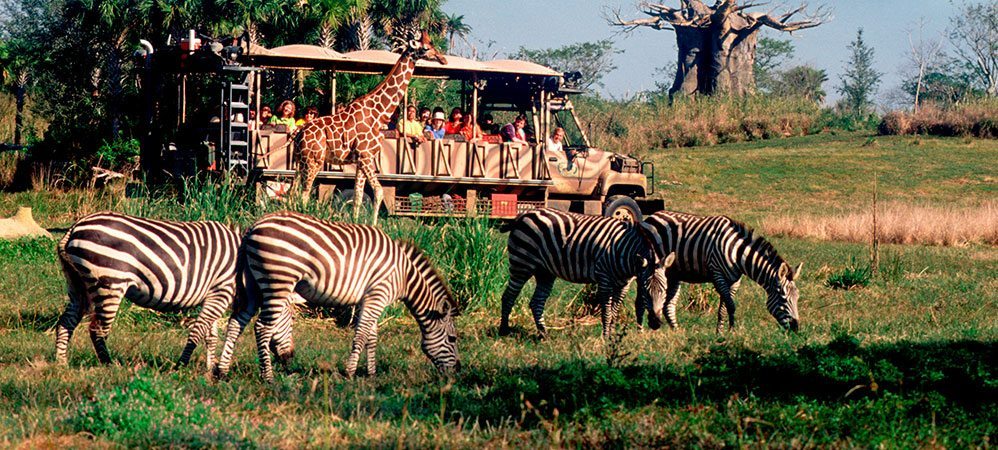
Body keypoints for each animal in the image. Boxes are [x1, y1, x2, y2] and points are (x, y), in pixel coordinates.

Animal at [56, 211, 240, 370]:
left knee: (66, 322)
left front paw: (209, 369)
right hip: (110, 283)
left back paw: (61, 363)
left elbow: (211, 336)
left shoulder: (213, 295)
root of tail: (74, 227)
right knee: (97, 330)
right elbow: (199, 332)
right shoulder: (221, 291)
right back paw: (109, 364)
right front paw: (181, 367)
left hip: (77, 285)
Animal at [215, 213, 460, 382]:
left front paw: (371, 373)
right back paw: (268, 377)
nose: (456, 372)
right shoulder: (378, 295)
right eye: (453, 339)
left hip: (252, 286)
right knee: (262, 328)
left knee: (236, 323)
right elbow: (361, 335)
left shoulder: (368, 299)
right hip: (278, 281)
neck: (404, 275)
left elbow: (371, 336)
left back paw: (222, 371)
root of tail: (253, 227)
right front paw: (350, 372)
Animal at [290, 29, 446, 223]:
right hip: (314, 161)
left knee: (292, 192)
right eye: (425, 48)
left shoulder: (360, 160)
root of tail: (298, 134)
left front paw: (356, 223)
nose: (443, 59)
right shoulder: (366, 156)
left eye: (432, 44)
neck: (379, 114)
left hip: (299, 161)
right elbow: (378, 192)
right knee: (304, 194)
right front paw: (373, 225)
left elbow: (358, 196)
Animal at [500, 207, 680, 338]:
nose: (656, 324)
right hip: (521, 263)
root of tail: (524, 215)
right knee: (508, 296)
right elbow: (607, 312)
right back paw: (504, 330)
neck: (625, 253)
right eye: (645, 291)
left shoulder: (624, 284)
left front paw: (612, 336)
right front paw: (606, 338)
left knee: (536, 302)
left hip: (545, 272)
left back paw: (544, 335)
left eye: (664, 291)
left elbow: (615, 312)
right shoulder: (604, 277)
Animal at [640, 209, 804, 332]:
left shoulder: (735, 280)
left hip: (673, 273)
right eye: (783, 297)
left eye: (797, 297)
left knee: (668, 306)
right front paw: (731, 331)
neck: (738, 254)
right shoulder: (717, 275)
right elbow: (731, 306)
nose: (796, 327)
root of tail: (652, 216)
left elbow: (723, 308)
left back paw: (677, 332)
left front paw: (720, 333)